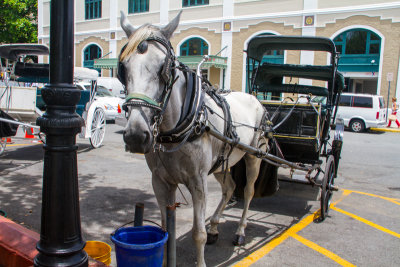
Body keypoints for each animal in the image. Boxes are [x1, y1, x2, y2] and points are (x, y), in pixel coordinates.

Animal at [119, 11, 268, 267]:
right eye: (124, 69)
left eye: (164, 68)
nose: (136, 136)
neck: (173, 131)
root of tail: (254, 97)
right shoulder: (160, 181)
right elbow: (165, 229)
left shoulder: (198, 182)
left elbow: (198, 233)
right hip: (222, 163)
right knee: (229, 188)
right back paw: (216, 226)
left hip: (253, 157)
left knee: (248, 191)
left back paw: (240, 230)